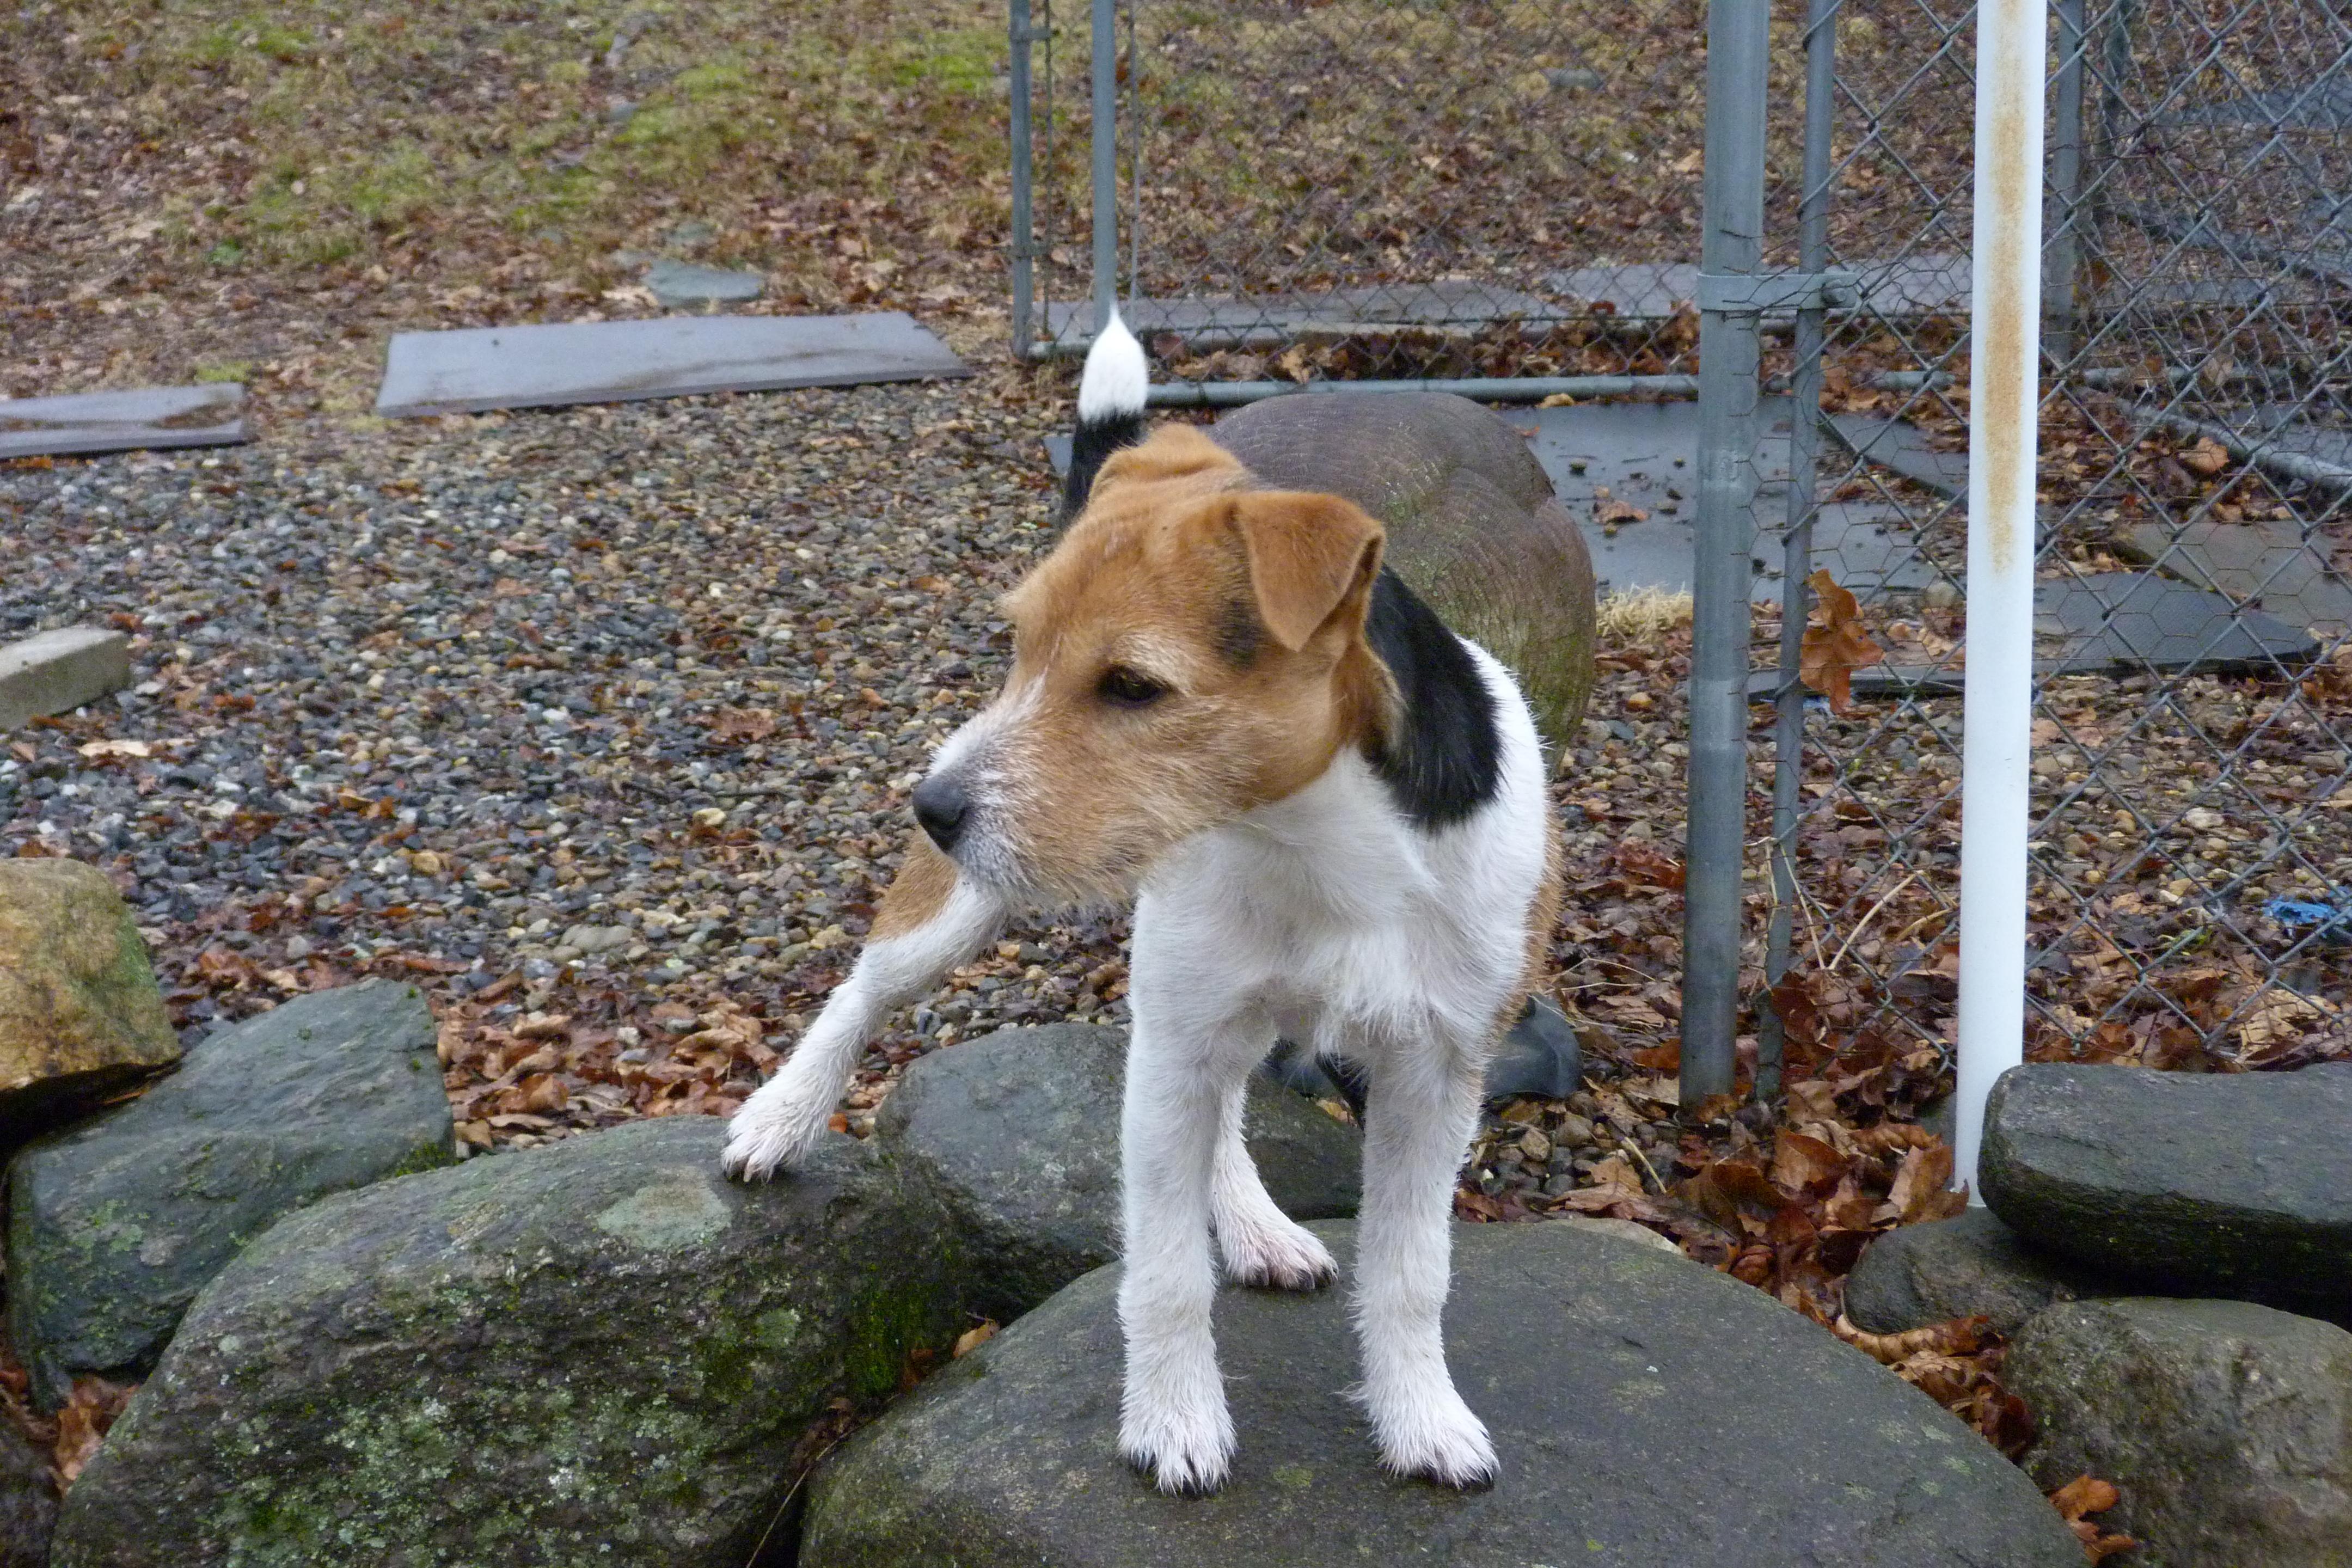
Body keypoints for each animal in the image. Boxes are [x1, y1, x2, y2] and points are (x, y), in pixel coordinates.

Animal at [722, 314, 1562, 1494]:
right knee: (863, 990)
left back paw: (1255, 1223)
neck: (1319, 848)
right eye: (1020, 646)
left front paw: (1421, 1418)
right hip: (971, 925)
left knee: (1226, 1111)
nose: (931, 807)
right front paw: (1176, 1421)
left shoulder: (1434, 1079)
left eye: (1134, 686)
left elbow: (1412, 1273)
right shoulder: (1179, 1049)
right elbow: (1164, 1275)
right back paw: (781, 1117)